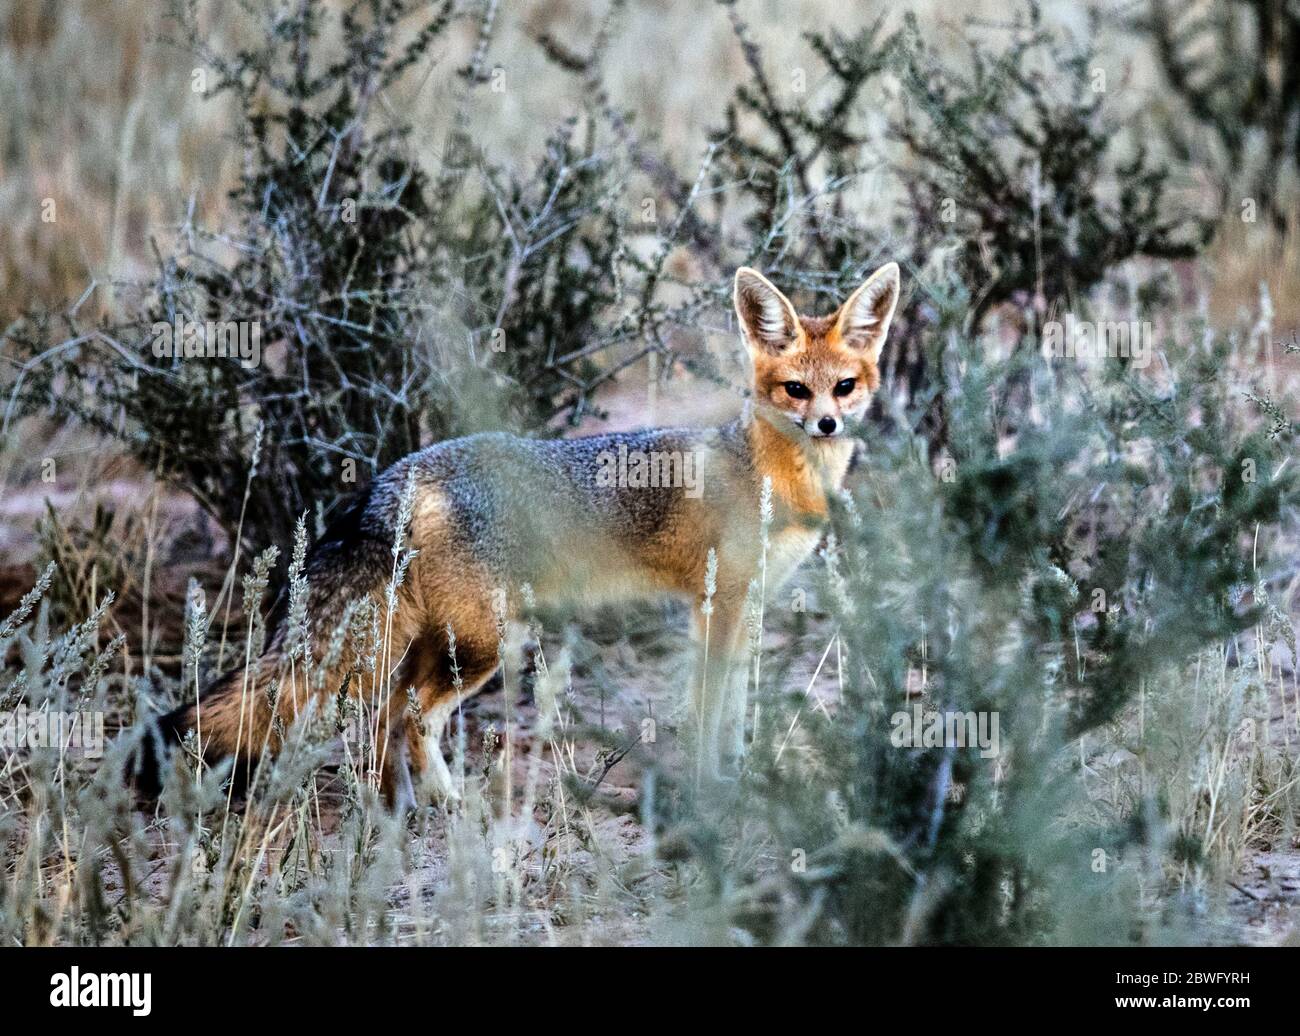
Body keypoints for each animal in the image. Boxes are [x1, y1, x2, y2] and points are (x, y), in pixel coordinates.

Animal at [133, 262, 901, 809]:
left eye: (845, 385)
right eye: (796, 389)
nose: (828, 423)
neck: (769, 471)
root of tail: (402, 471)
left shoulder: (748, 606)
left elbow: (736, 707)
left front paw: (739, 777)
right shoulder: (717, 605)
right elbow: (709, 710)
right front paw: (713, 788)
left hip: (442, 641)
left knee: (388, 718)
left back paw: (408, 807)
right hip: (481, 643)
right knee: (409, 717)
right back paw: (440, 805)